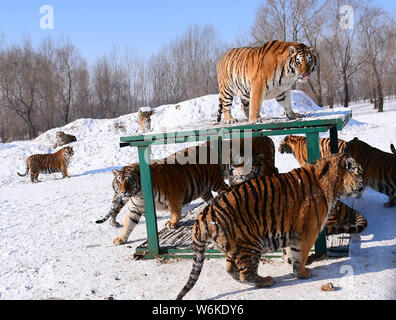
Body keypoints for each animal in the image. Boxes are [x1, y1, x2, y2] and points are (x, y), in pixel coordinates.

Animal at [176, 153, 366, 300]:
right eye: (360, 173)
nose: (364, 186)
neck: (334, 184)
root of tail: (203, 215)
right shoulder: (307, 232)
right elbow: (300, 255)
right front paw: (302, 273)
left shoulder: (293, 231)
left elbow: (291, 252)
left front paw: (291, 265)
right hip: (250, 245)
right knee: (246, 273)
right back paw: (266, 281)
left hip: (232, 247)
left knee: (230, 269)